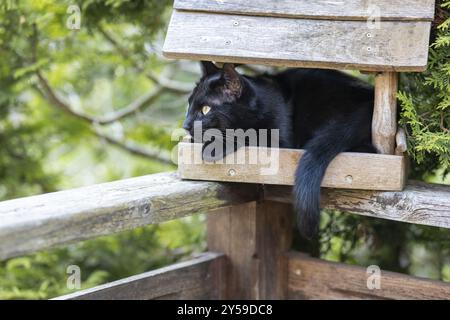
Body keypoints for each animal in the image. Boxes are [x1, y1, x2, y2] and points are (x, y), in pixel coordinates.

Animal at [183, 62, 376, 238]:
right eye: (189, 104)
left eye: (205, 109)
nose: (185, 125)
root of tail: (370, 101)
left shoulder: (281, 142)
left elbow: (248, 135)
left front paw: (213, 148)